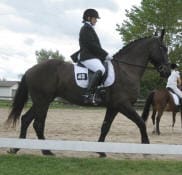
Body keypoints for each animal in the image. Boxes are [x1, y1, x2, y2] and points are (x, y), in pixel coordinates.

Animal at [6, 29, 171, 157]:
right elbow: (141, 123)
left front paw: (101, 151)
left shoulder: (113, 106)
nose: (167, 71)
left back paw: (16, 148)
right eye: (163, 48)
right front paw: (147, 149)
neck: (126, 69)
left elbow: (105, 127)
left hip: (42, 101)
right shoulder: (123, 105)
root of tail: (31, 69)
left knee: (26, 119)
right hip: (43, 101)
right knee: (38, 124)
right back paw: (46, 151)